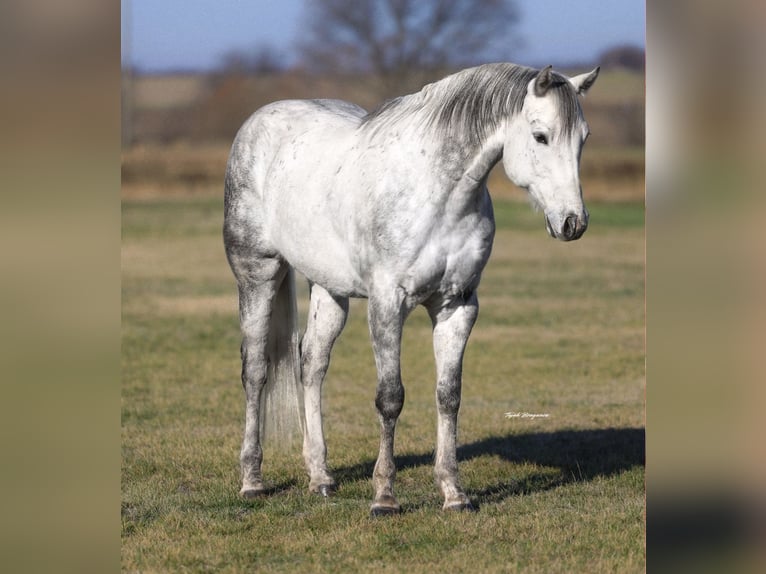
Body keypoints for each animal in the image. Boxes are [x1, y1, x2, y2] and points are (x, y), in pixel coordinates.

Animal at [223, 62, 599, 515]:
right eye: (541, 136)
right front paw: (385, 497)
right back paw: (252, 481)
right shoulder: (388, 304)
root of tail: (256, 123)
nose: (573, 223)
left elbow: (448, 396)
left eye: (583, 138)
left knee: (311, 364)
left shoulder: (457, 305)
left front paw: (454, 493)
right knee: (255, 371)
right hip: (258, 274)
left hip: (329, 289)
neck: (437, 195)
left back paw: (321, 477)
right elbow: (391, 397)